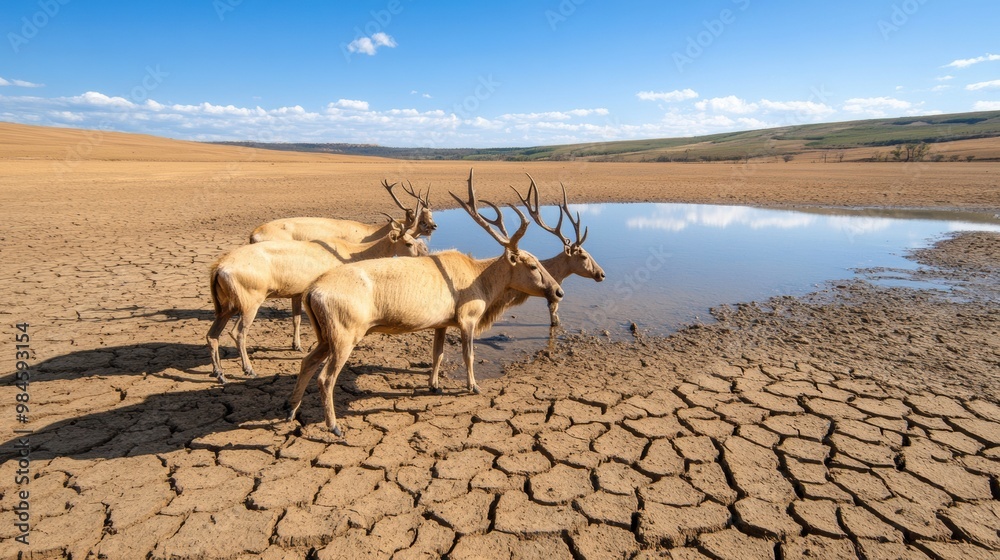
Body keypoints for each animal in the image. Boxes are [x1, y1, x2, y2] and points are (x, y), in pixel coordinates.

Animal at [207, 218, 427, 383]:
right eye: (408, 243)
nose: (425, 253)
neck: (349, 252)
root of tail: (219, 267)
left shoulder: (298, 294)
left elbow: (296, 318)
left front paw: (297, 346)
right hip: (249, 305)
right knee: (237, 333)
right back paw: (248, 370)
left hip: (225, 309)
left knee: (212, 335)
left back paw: (220, 374)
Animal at [287, 169, 564, 435]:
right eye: (532, 265)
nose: (559, 291)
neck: (481, 284)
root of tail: (312, 291)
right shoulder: (467, 318)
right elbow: (468, 355)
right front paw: (472, 386)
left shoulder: (442, 322)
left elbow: (437, 354)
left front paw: (434, 385)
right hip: (345, 334)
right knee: (325, 378)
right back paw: (333, 426)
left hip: (326, 335)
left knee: (307, 361)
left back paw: (291, 410)